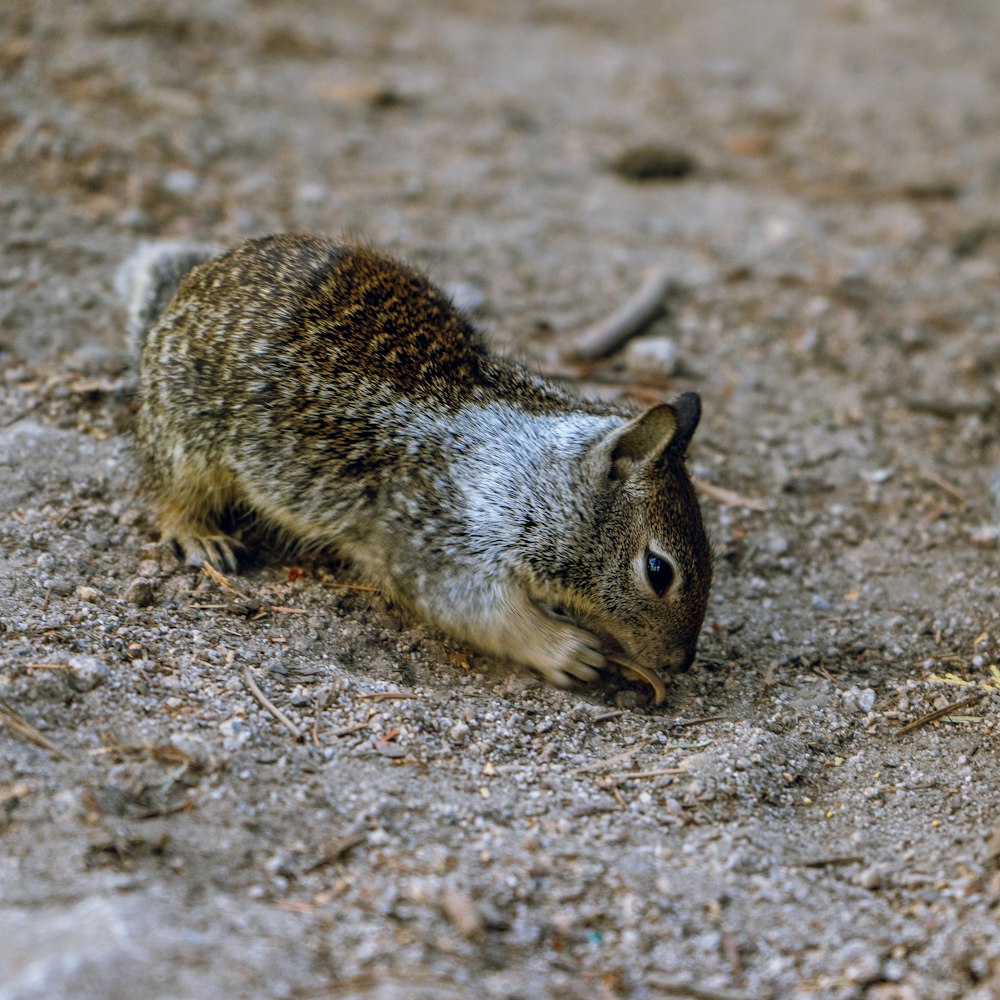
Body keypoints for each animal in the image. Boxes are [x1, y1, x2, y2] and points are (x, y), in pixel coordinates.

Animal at [121, 234, 716, 696]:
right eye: (658, 571)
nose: (681, 662)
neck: (531, 471)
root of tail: (182, 295)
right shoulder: (440, 542)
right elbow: (484, 613)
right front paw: (566, 648)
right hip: (188, 444)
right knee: (167, 496)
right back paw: (201, 536)